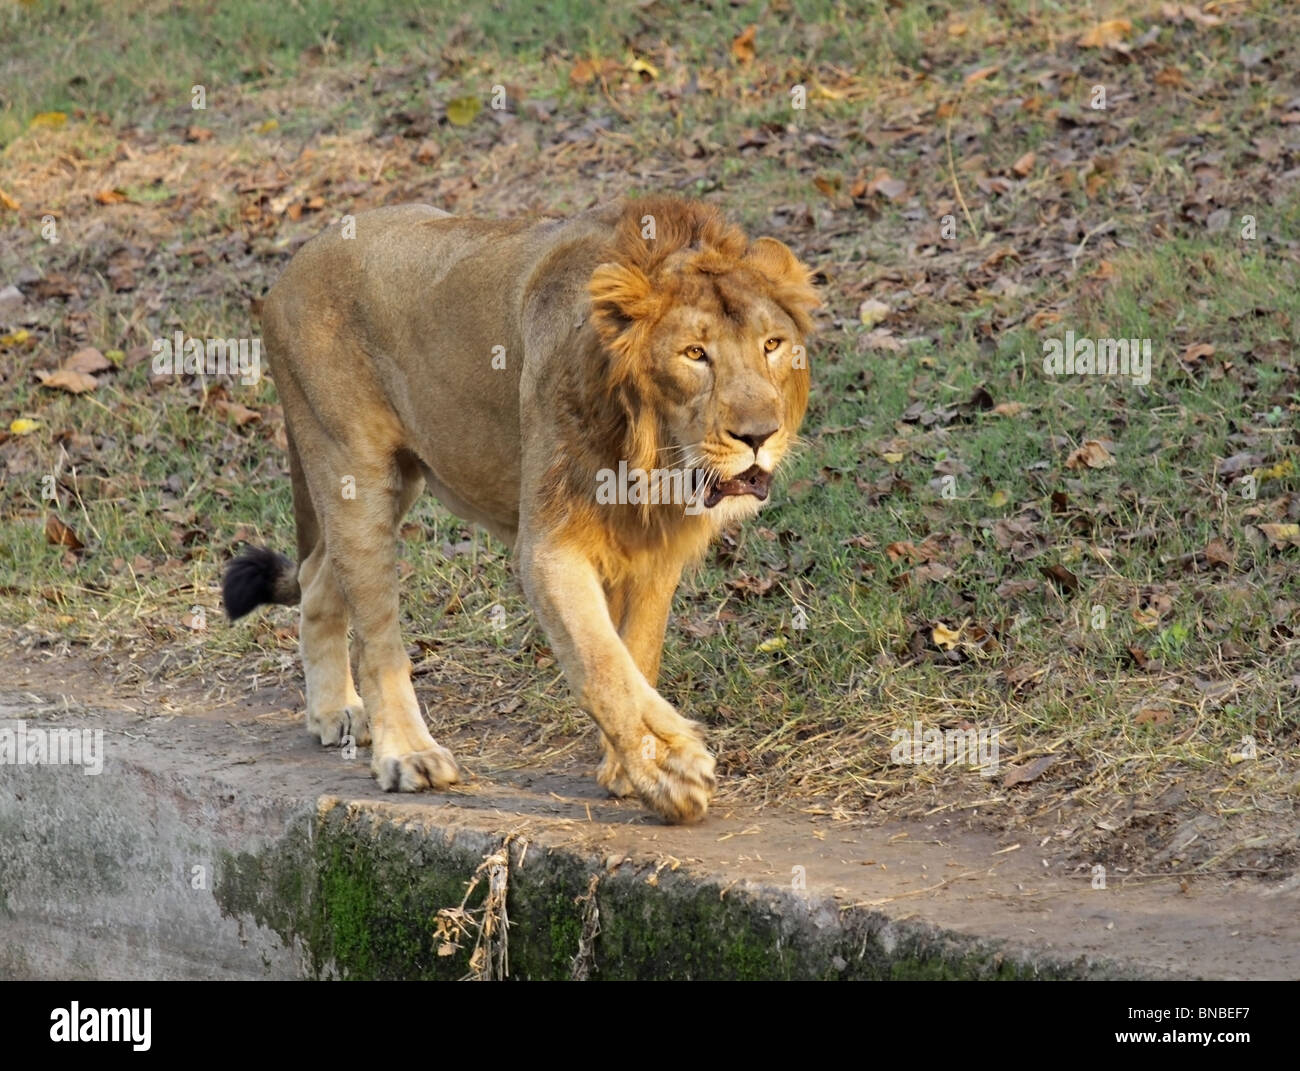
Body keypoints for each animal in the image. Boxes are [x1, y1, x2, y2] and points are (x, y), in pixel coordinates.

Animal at [219, 196, 816, 826]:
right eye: (695, 354)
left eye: (772, 345)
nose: (760, 435)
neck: (652, 451)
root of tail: (299, 259)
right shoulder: (550, 546)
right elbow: (601, 662)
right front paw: (669, 769)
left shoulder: (656, 543)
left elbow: (637, 651)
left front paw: (629, 765)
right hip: (353, 470)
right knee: (377, 638)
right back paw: (408, 754)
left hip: (390, 484)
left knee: (315, 576)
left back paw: (334, 711)